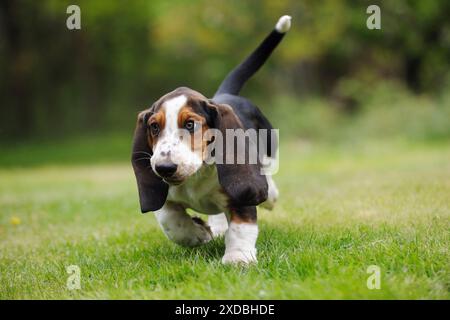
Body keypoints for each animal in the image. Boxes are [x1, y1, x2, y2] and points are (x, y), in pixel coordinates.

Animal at [131, 15, 292, 264]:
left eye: (190, 124)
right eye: (154, 127)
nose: (164, 168)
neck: (196, 175)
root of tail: (223, 95)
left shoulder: (240, 198)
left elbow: (241, 226)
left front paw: (238, 258)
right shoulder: (164, 198)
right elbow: (170, 219)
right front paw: (196, 234)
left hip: (268, 149)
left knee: (266, 177)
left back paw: (269, 195)